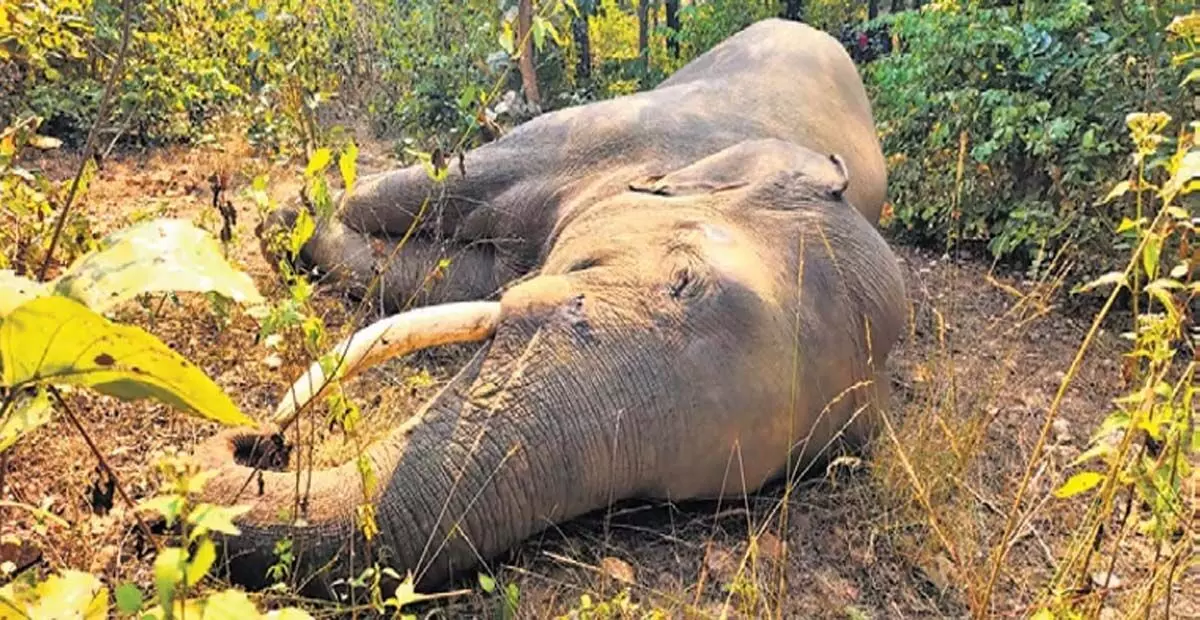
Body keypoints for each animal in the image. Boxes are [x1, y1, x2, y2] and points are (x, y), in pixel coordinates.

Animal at [194, 19, 907, 597]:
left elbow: (431, 279)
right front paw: (284, 223)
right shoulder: (603, 133)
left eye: (670, 497)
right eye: (684, 279)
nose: (260, 442)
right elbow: (427, 190)